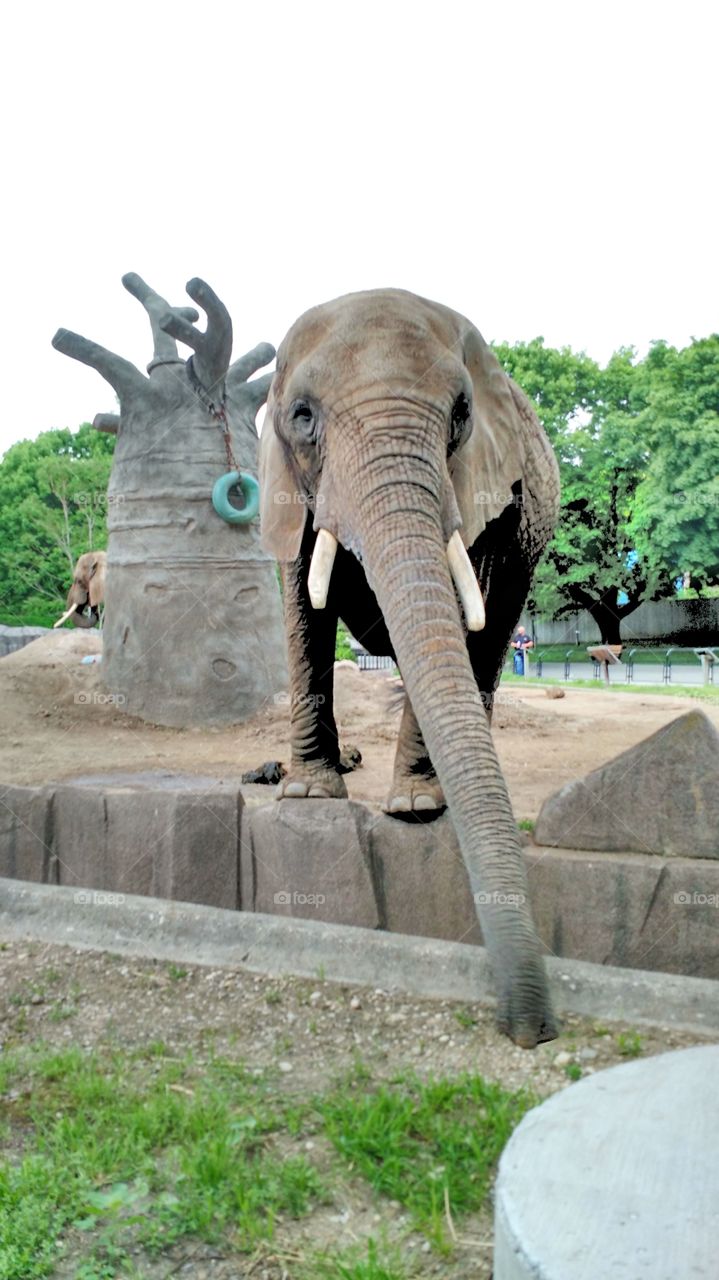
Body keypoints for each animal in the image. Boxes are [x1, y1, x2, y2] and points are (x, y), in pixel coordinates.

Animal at [259, 288, 559, 1049]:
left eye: (460, 413)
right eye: (301, 416)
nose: (532, 1031)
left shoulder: (490, 496)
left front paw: (418, 809)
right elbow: (301, 608)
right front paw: (308, 796)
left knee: (489, 640)